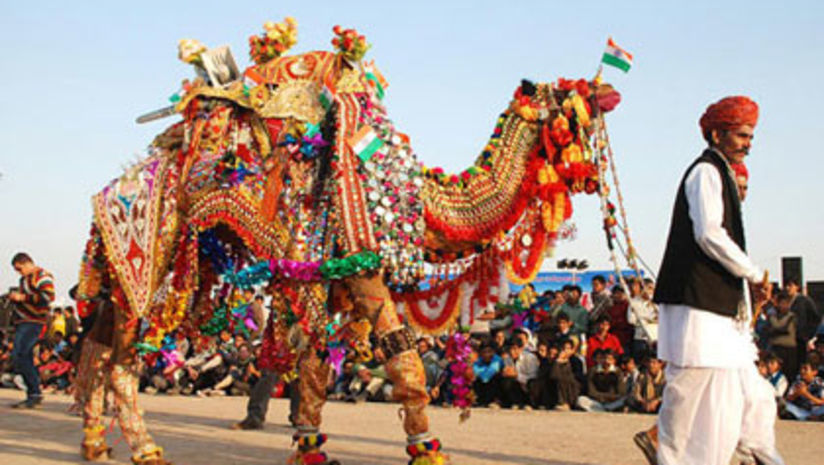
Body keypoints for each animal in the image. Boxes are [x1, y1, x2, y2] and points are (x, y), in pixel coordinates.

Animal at [72, 19, 624, 464]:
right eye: (567, 94)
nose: (609, 91)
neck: (417, 192)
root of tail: (108, 193)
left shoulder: (334, 276)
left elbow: (316, 364)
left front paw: (309, 448)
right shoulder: (362, 265)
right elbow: (402, 356)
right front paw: (427, 453)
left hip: (126, 269)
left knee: (98, 343)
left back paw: (96, 444)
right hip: (150, 250)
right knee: (123, 355)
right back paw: (144, 448)